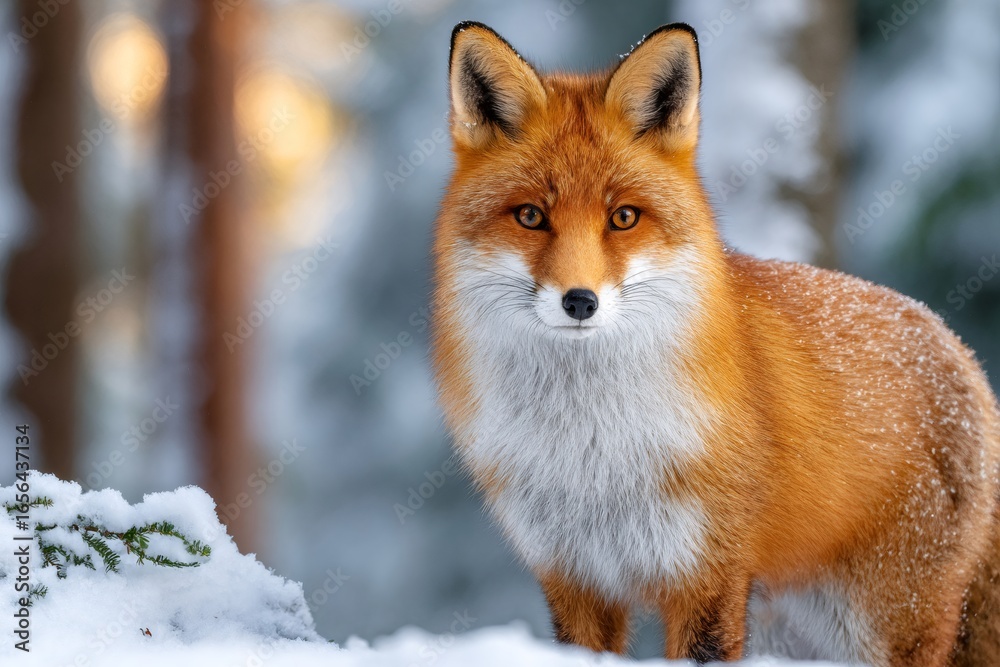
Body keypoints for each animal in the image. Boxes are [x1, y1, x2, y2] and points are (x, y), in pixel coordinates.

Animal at [430, 21, 1000, 666]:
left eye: (623, 218)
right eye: (530, 216)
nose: (580, 301)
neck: (593, 451)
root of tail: (957, 347)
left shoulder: (707, 572)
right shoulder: (574, 576)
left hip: (883, 625)